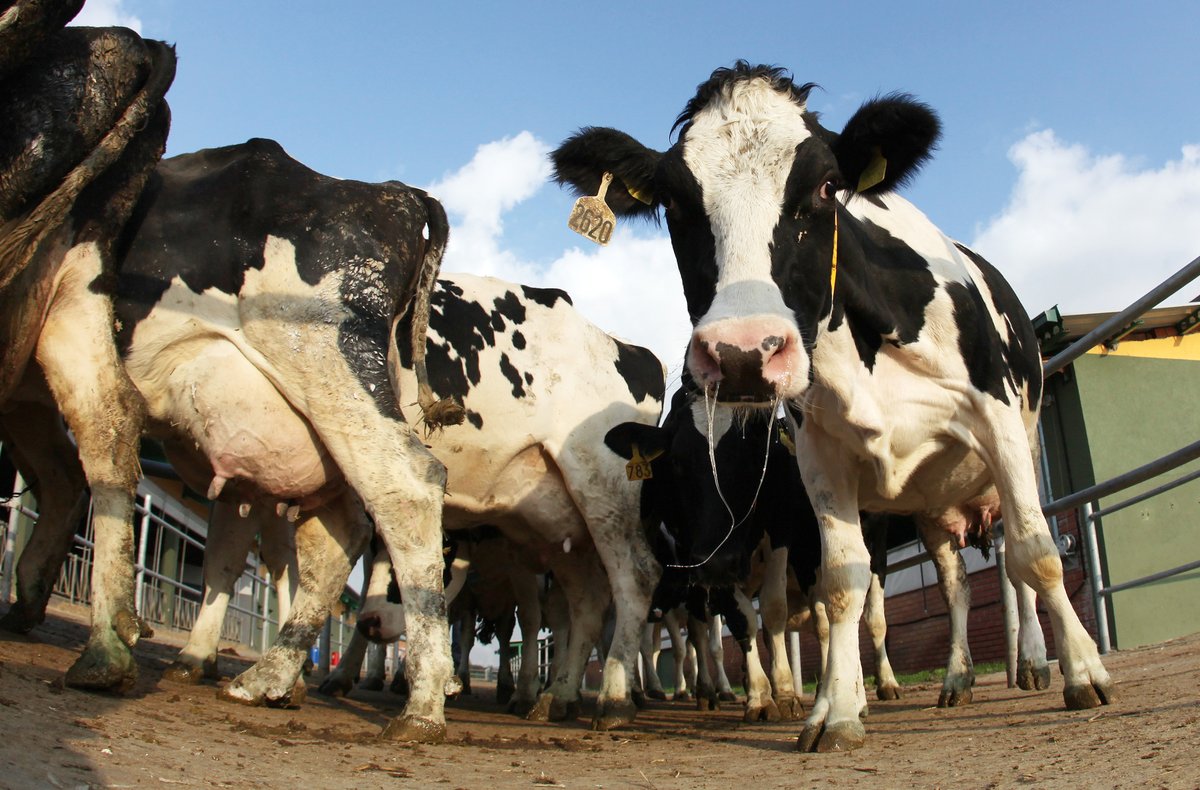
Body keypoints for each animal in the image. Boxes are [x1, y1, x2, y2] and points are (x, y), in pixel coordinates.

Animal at [554, 61, 1113, 749]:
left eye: (825, 187)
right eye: (675, 202)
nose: (743, 353)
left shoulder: (999, 421)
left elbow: (1040, 554)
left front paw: (1084, 671)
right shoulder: (820, 460)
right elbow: (842, 583)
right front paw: (838, 711)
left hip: (1010, 463)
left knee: (1014, 561)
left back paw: (1034, 661)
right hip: (932, 511)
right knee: (954, 586)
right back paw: (955, 678)